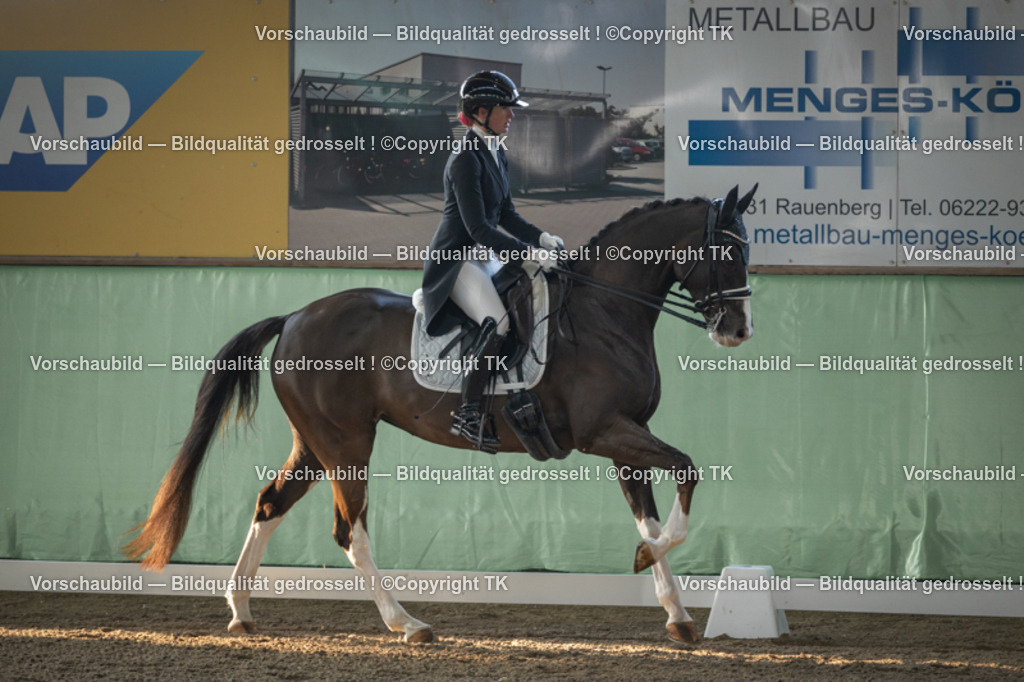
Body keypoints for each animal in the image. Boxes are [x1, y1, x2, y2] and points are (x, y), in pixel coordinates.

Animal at [125, 185, 758, 644]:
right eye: (726, 251)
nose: (738, 330)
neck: (605, 310)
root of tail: (295, 316)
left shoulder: (628, 437)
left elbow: (651, 517)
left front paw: (676, 613)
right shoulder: (604, 432)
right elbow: (689, 470)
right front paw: (651, 566)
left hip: (315, 443)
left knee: (269, 503)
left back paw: (240, 610)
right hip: (347, 445)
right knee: (350, 531)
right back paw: (407, 624)